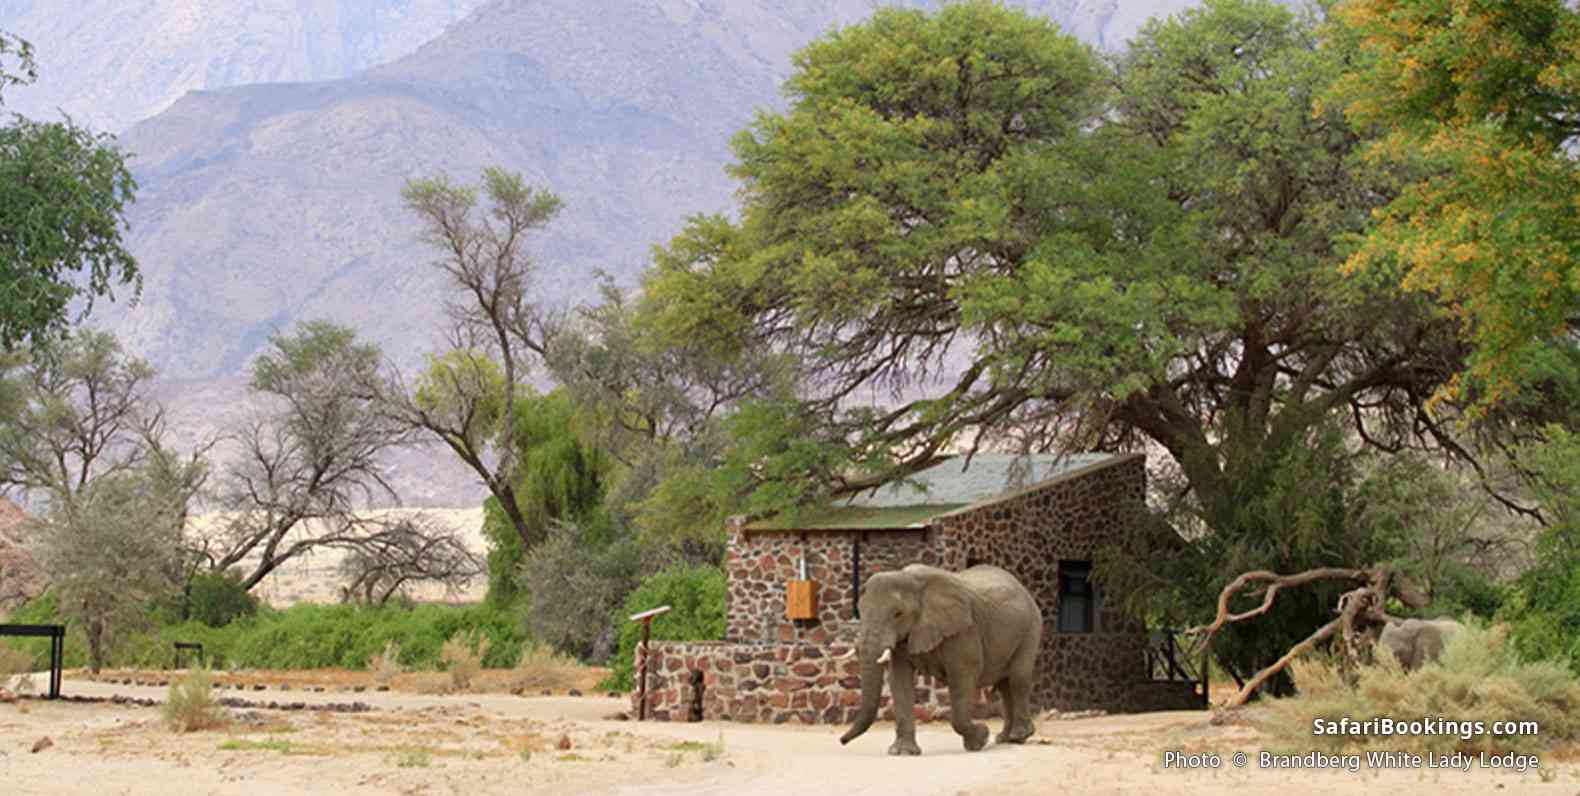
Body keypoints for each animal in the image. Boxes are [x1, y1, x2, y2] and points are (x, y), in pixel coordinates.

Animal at [834, 562, 1042, 754]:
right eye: (859, 610)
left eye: (898, 614)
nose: (841, 741)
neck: (911, 579)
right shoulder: (905, 636)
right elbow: (899, 679)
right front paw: (902, 752)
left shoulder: (963, 630)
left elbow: (962, 675)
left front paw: (980, 739)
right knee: (1004, 685)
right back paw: (1005, 738)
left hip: (1031, 627)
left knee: (1017, 679)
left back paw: (1018, 737)